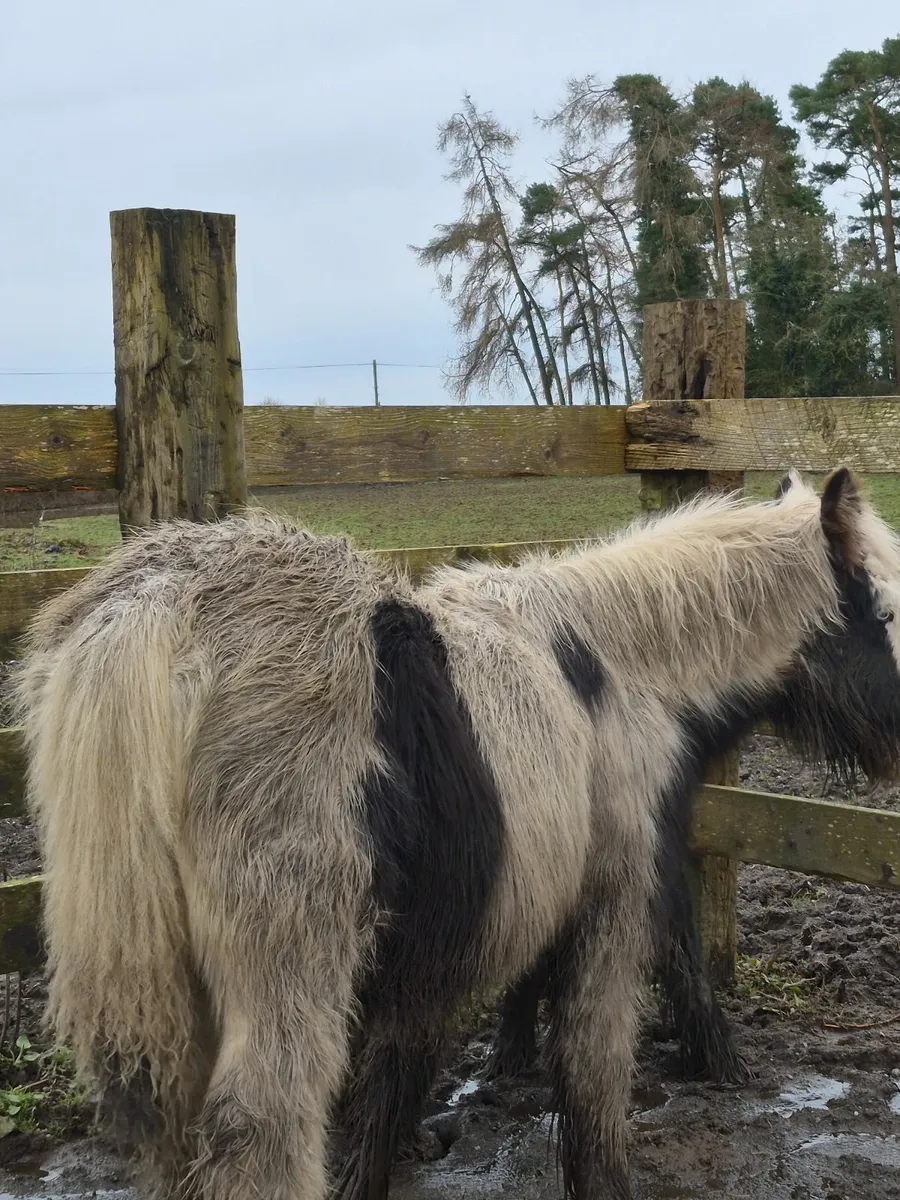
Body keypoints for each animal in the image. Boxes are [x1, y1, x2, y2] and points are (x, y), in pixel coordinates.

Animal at [11, 466, 900, 1200]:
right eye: (886, 612)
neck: (622, 665)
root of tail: (149, 612)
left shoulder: (450, 939)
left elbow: (392, 1091)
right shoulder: (613, 897)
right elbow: (595, 1071)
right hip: (289, 967)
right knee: (260, 1139)